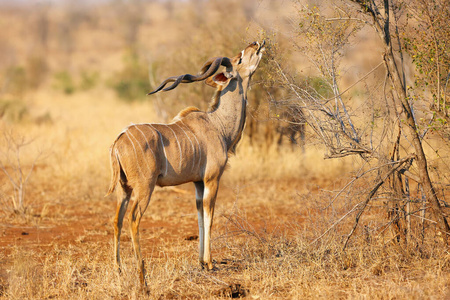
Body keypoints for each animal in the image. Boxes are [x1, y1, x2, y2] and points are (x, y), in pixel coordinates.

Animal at [107, 40, 266, 286]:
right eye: (240, 58)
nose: (256, 43)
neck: (218, 125)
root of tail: (119, 140)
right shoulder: (212, 179)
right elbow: (210, 215)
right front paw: (209, 263)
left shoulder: (197, 183)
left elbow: (200, 214)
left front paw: (201, 262)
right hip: (144, 188)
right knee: (133, 219)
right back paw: (142, 275)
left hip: (123, 189)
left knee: (117, 220)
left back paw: (119, 271)